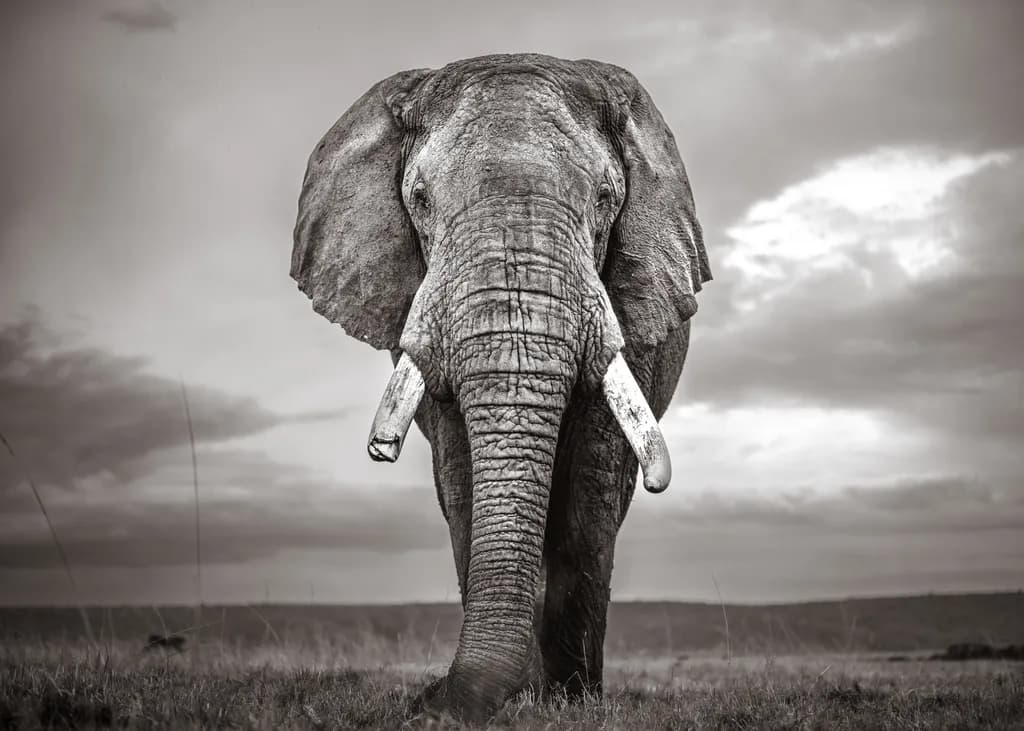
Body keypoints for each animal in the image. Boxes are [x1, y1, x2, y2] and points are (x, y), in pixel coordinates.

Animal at [290, 53, 711, 721]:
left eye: (605, 198)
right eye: (419, 199)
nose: (428, 700)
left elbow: (589, 489)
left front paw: (569, 702)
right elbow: (460, 474)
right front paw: (519, 699)